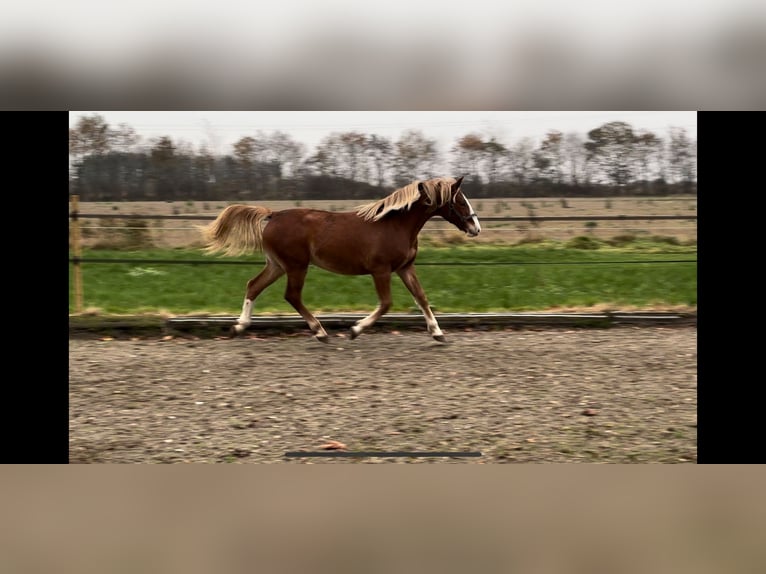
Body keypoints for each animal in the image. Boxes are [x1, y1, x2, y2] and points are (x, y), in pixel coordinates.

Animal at [201, 176, 484, 344]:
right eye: (460, 200)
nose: (476, 227)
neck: (395, 225)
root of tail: (273, 215)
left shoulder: (405, 268)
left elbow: (422, 298)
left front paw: (438, 333)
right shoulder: (380, 270)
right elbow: (386, 304)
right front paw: (355, 330)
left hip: (277, 265)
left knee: (253, 286)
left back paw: (239, 327)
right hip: (296, 266)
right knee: (292, 295)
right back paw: (320, 332)